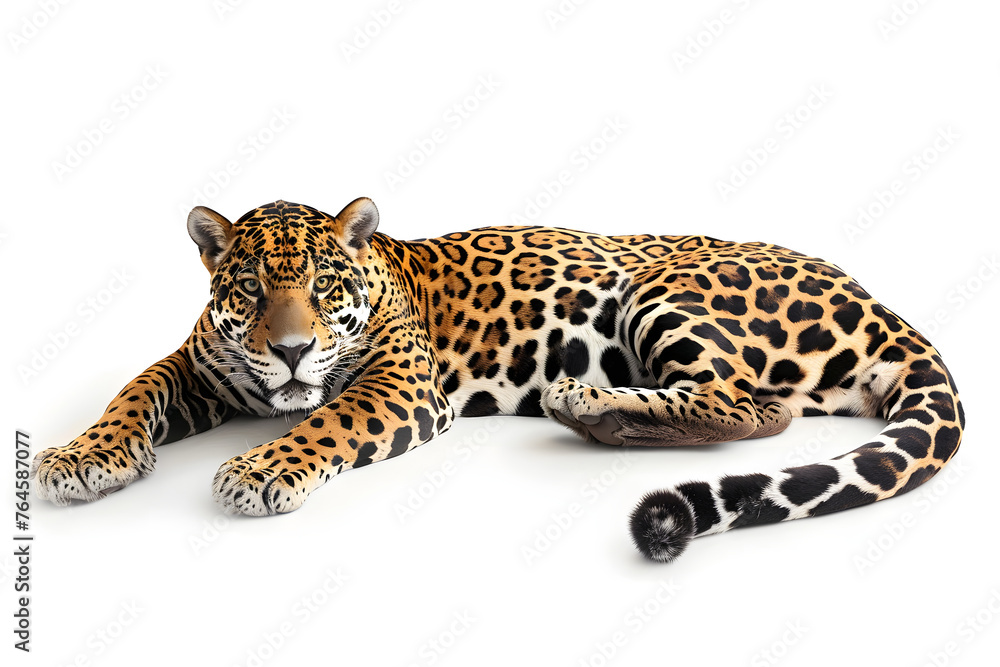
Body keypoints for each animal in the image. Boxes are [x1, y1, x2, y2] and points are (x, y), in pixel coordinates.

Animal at [31, 198, 965, 563]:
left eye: (326, 286)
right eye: (253, 290)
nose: (293, 351)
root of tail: (876, 299)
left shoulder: (401, 384)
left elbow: (320, 423)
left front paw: (262, 467)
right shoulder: (195, 366)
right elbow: (130, 394)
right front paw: (80, 457)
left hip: (664, 286)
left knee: (754, 407)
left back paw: (584, 402)